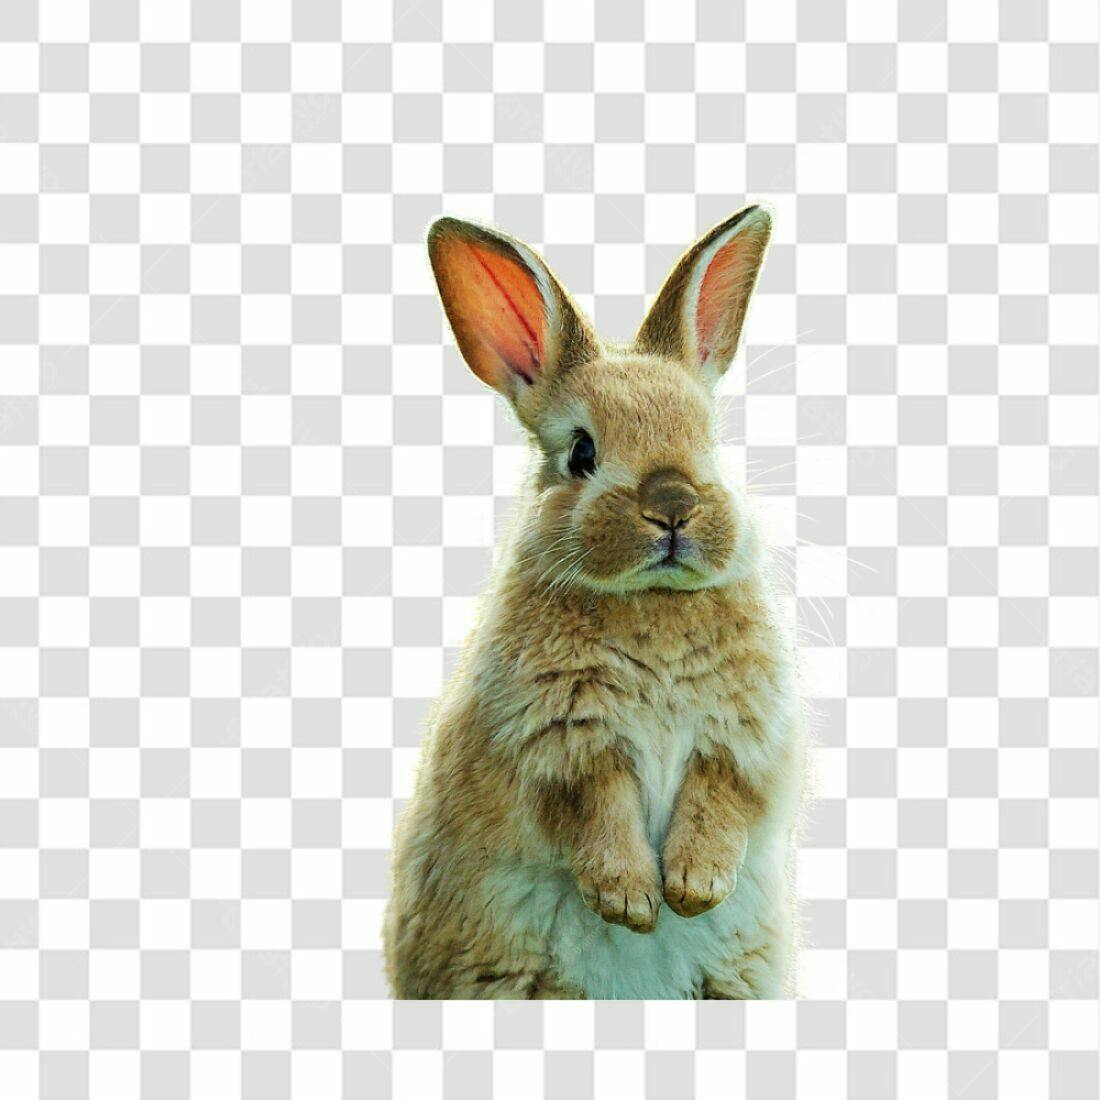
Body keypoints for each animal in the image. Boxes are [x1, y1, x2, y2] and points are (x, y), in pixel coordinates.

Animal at [383, 206, 809, 999]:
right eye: (582, 452)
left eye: (708, 442)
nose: (672, 506)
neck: (651, 599)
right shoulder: (561, 744)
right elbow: (596, 810)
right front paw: (633, 901)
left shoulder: (741, 742)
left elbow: (721, 801)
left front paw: (693, 889)